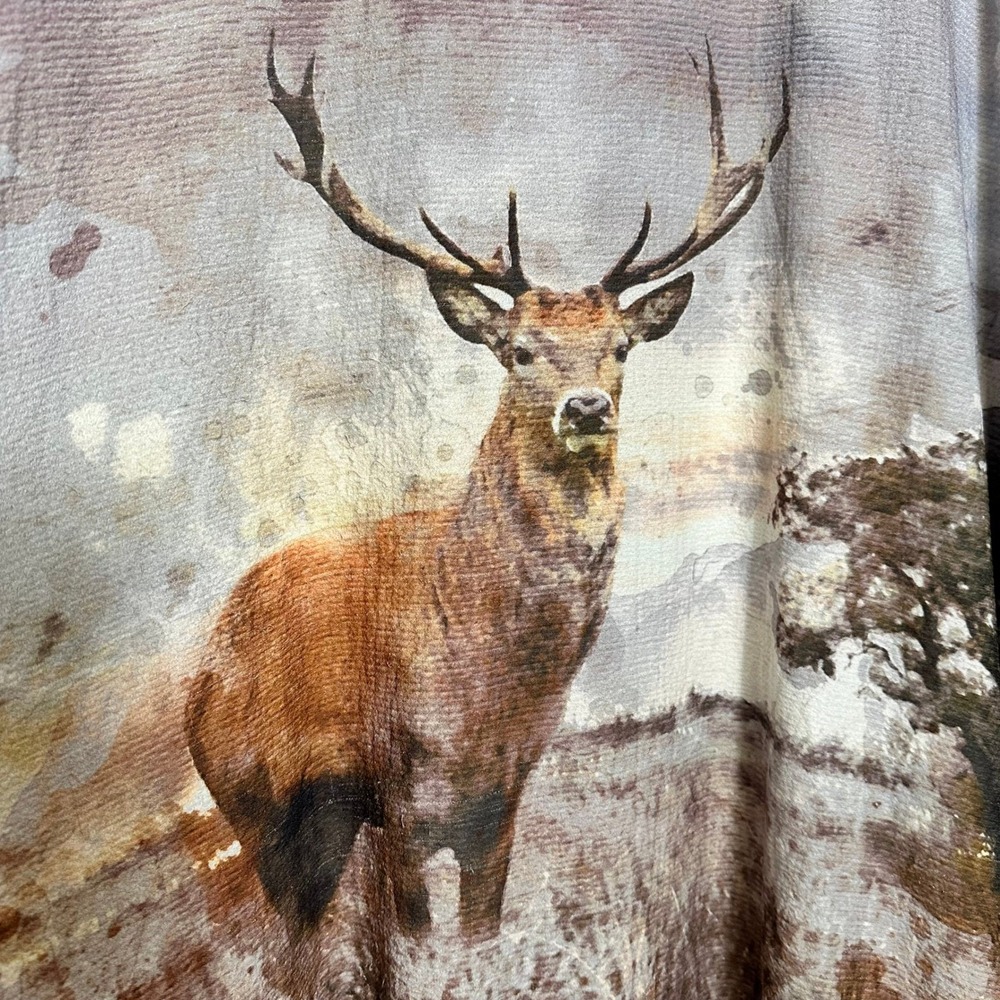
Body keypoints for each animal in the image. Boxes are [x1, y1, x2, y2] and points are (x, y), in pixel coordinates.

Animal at [185, 35, 789, 945]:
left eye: (620, 347)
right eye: (520, 349)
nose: (587, 407)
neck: (490, 685)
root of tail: (201, 666)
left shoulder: (501, 800)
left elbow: (483, 930)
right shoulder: (404, 802)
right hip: (258, 805)